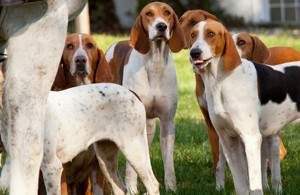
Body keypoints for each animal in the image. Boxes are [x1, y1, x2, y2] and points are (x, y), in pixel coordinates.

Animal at [105, 2, 185, 193]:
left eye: (167, 12)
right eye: (148, 13)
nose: (161, 26)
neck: (155, 63)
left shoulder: (167, 122)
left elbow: (169, 162)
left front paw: (171, 188)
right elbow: (130, 167)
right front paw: (131, 188)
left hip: (147, 127)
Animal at [189, 19, 300, 194]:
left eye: (211, 34)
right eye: (192, 35)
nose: (194, 52)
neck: (221, 81)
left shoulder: (251, 139)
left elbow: (254, 182)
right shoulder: (228, 140)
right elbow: (240, 183)